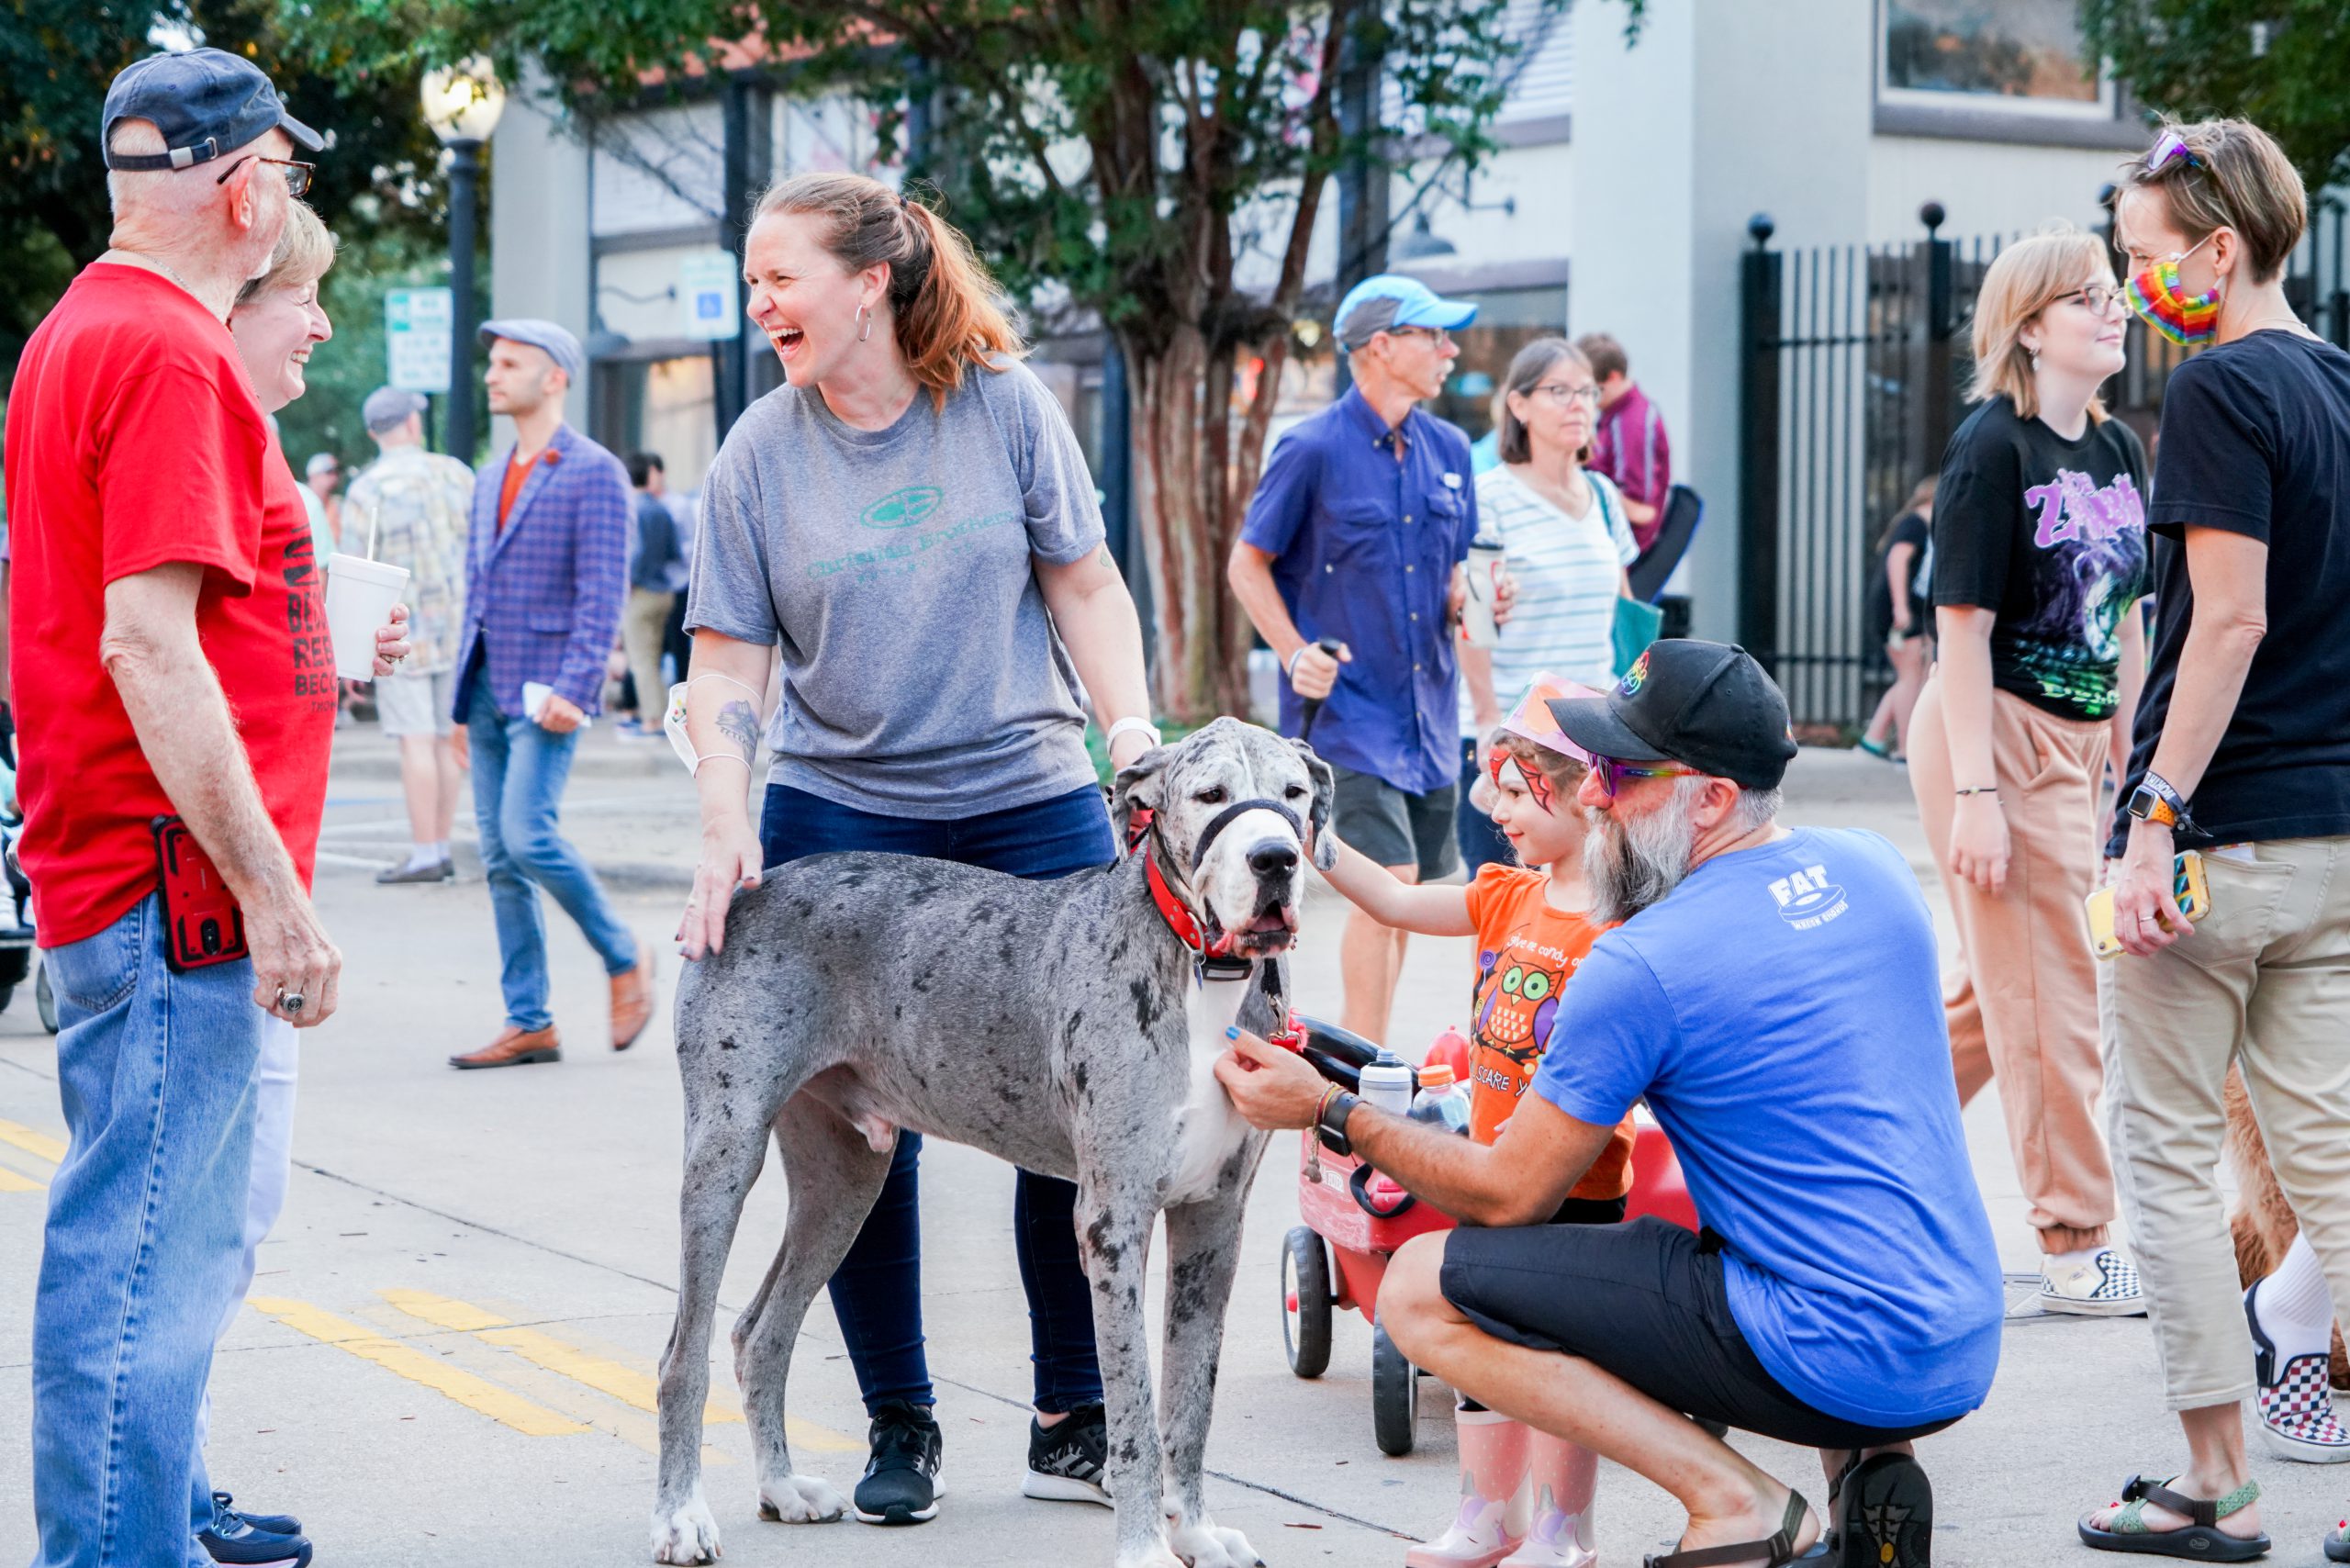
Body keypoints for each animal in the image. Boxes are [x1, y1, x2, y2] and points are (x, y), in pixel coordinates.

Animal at [653, 719, 1335, 1568]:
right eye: (1210, 794)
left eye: (1294, 793)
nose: (1274, 858)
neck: (1200, 971)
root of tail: (753, 887)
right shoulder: (1113, 1222)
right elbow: (1138, 1410)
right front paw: (1147, 1547)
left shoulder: (1214, 1221)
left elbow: (1190, 1400)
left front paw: (1198, 1533)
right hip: (724, 1155)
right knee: (683, 1354)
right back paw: (682, 1517)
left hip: (844, 1179)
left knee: (760, 1333)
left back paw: (782, 1490)